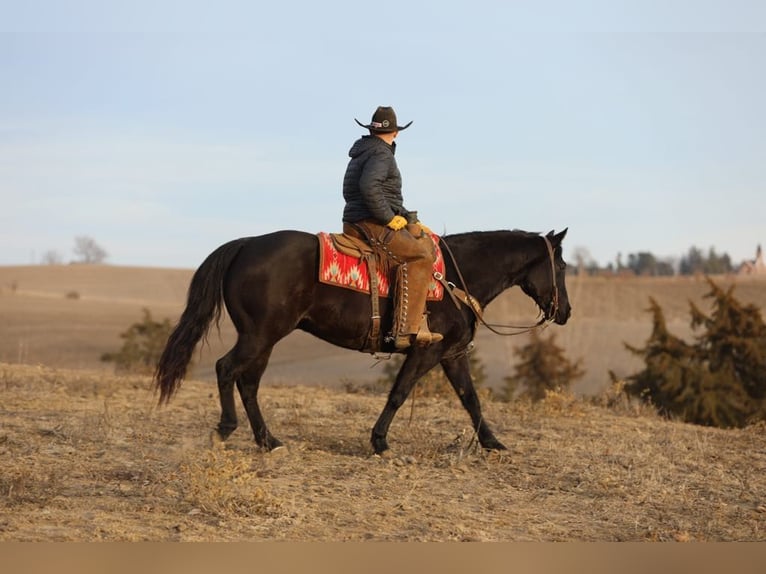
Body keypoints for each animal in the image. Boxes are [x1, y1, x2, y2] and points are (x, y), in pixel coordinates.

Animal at [156, 227, 572, 456]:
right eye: (563, 266)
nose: (565, 311)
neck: (456, 277)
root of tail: (245, 244)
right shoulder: (427, 350)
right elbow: (399, 393)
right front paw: (380, 442)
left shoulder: (451, 354)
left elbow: (471, 399)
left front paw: (493, 443)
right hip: (260, 336)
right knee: (226, 369)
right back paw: (227, 429)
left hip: (264, 339)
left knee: (248, 383)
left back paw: (269, 441)